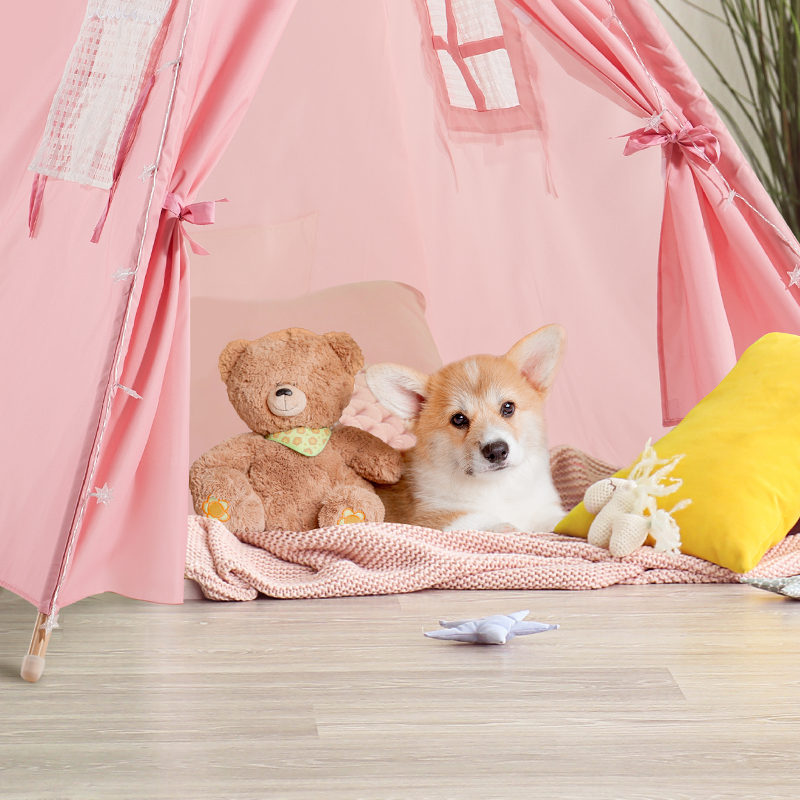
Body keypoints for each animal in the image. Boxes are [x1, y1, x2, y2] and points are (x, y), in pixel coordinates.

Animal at [366, 322, 564, 536]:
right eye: (458, 419)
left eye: (508, 407)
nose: (496, 451)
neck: (499, 487)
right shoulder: (435, 516)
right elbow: (479, 521)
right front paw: (506, 527)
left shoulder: (544, 508)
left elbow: (557, 519)